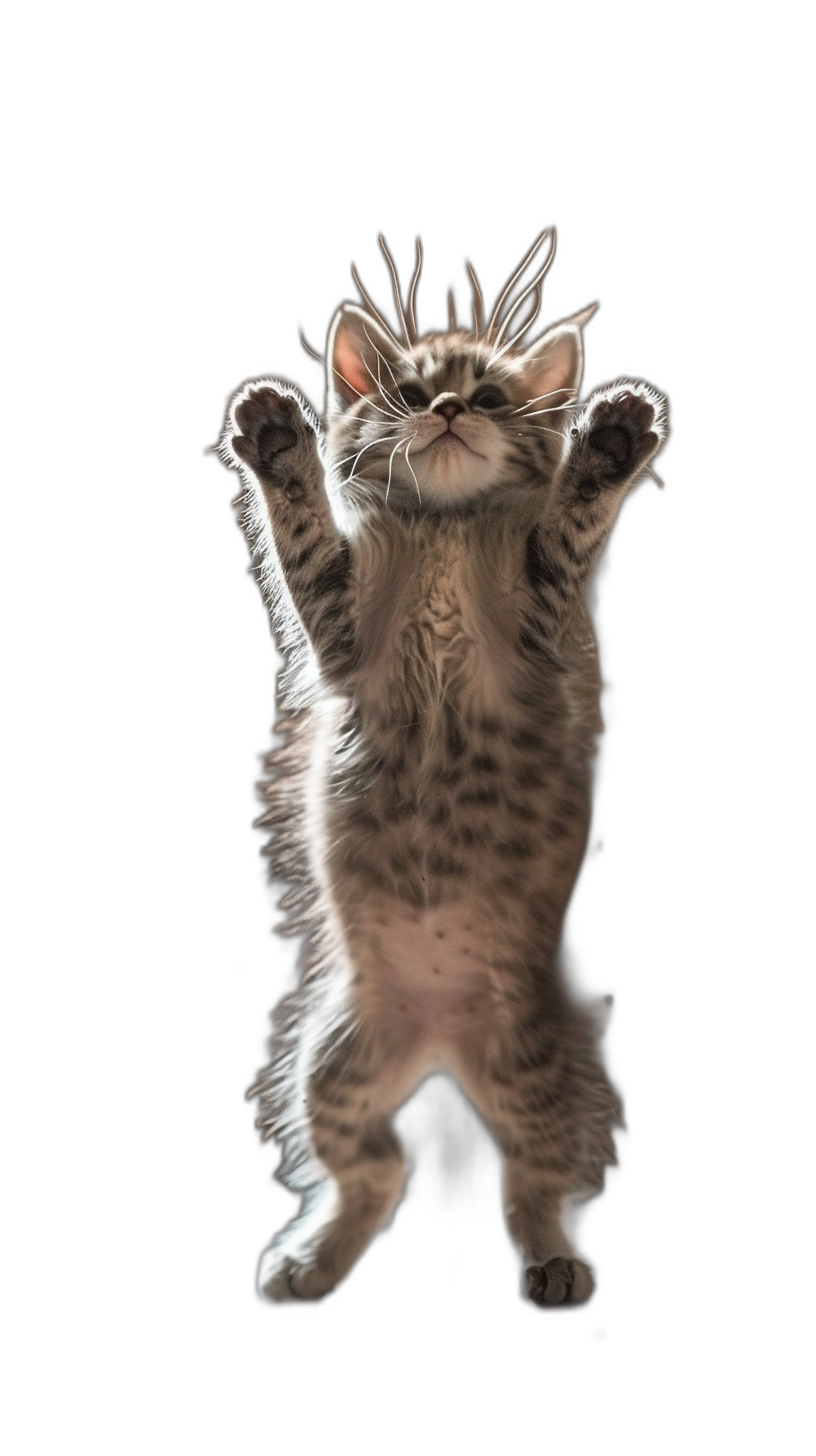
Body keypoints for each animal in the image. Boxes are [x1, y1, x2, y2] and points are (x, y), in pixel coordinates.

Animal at [220, 235, 667, 1310]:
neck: (444, 534)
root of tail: (439, 1045)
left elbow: (566, 539)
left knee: (536, 1180)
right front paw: (278, 442)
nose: (455, 408)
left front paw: (608, 448)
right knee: (376, 1171)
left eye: (495, 397)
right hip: (330, 1061)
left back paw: (553, 1262)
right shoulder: (342, 642)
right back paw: (313, 1260)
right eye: (409, 392)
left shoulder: (544, 639)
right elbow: (302, 544)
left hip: (541, 1068)